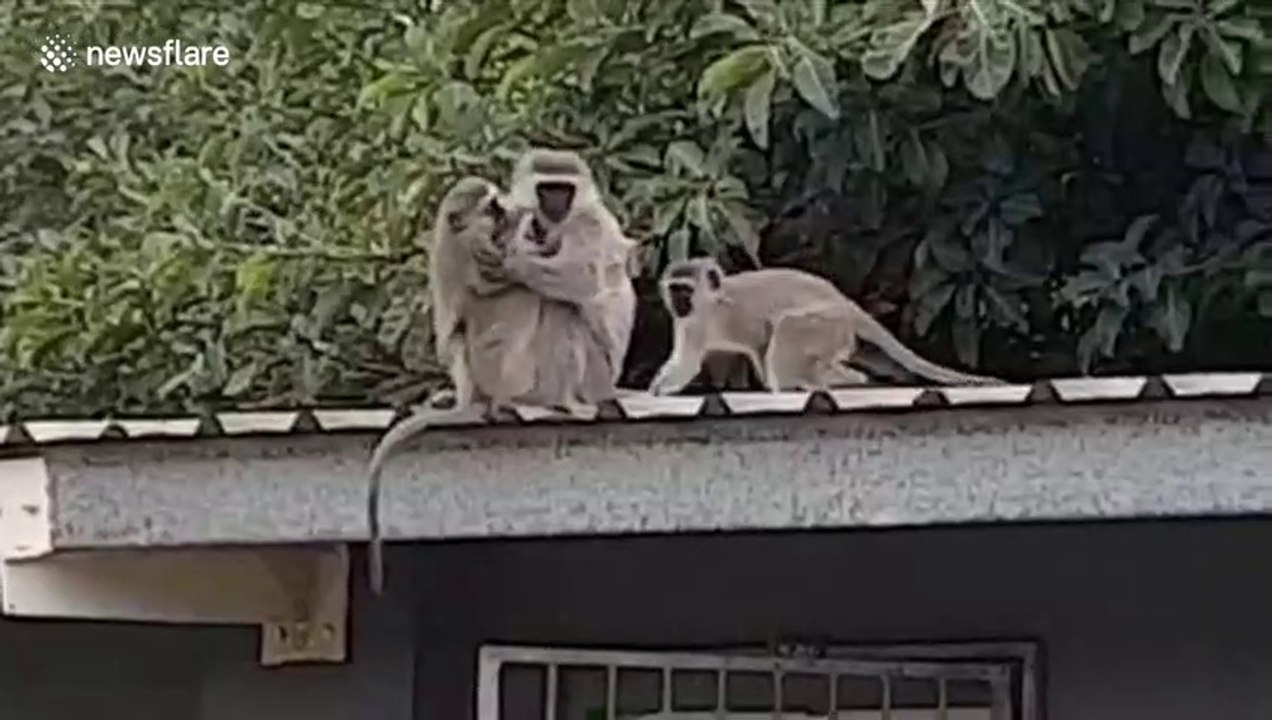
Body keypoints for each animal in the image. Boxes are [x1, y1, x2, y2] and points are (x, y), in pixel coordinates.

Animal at [647, 257, 1004, 396]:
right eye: (674, 290)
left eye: (685, 290)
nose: (678, 304)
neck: (712, 299)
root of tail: (846, 304)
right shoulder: (689, 321)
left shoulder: (700, 320)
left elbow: (688, 365)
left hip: (823, 323)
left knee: (787, 333)